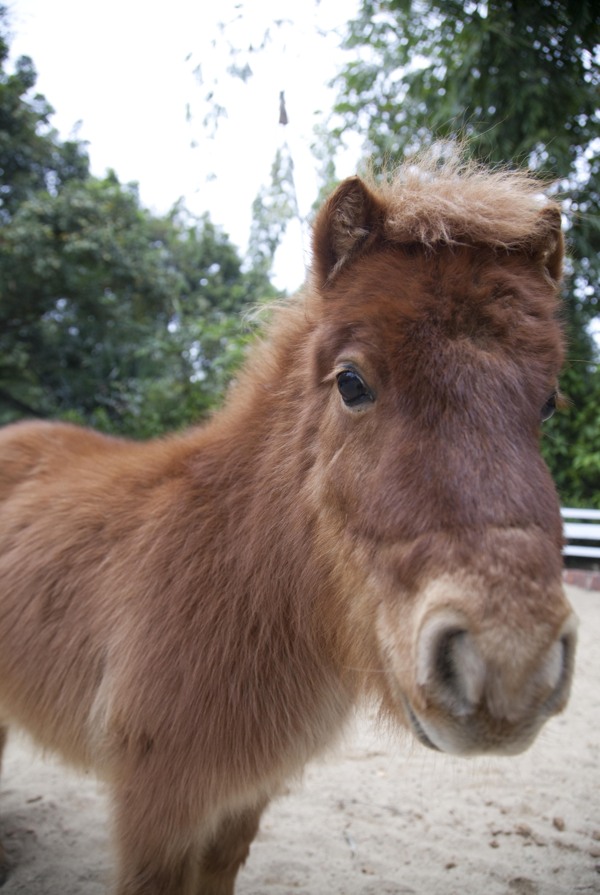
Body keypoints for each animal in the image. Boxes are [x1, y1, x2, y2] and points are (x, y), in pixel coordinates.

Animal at [1, 150, 580, 892]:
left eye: (548, 401)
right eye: (351, 382)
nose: (511, 666)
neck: (234, 582)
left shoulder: (240, 804)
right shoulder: (154, 811)